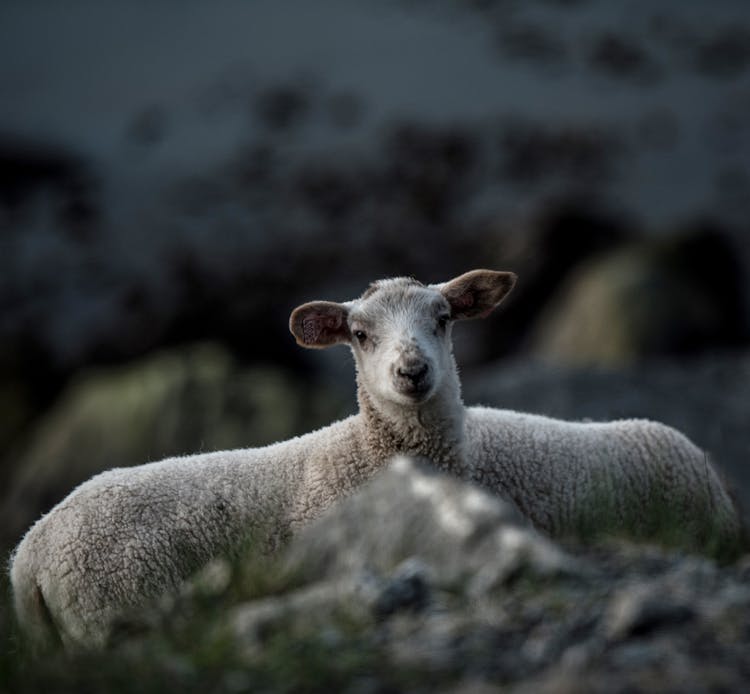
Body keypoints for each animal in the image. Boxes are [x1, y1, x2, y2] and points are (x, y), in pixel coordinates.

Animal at [8, 270, 744, 652]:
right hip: (106, 611)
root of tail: (29, 556)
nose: (412, 370)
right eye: (359, 335)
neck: (374, 451)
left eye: (444, 317)